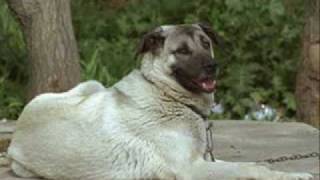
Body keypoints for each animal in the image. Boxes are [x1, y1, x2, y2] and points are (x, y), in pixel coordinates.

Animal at [7, 23, 312, 180]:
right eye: (182, 51)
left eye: (206, 43)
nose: (212, 67)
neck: (166, 93)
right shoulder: (192, 169)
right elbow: (248, 168)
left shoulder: (204, 158)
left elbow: (257, 165)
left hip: (92, 85)